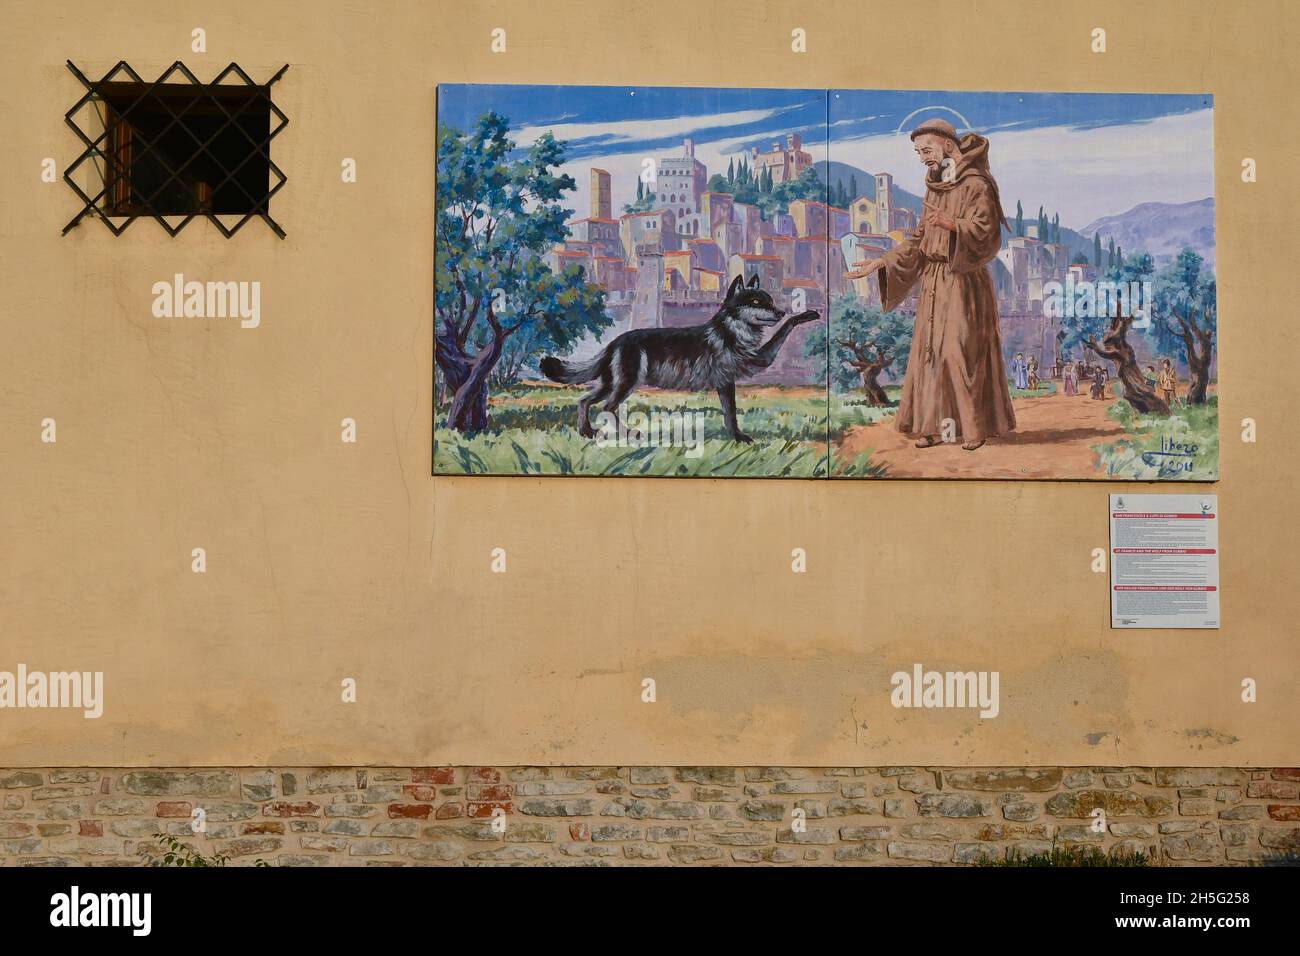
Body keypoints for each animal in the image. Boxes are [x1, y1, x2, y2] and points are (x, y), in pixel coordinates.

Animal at [538, 273, 821, 444]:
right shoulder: (734, 377)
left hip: (610, 384)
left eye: (769, 301)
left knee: (584, 400)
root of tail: (614, 342)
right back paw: (629, 434)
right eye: (755, 301)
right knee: (607, 407)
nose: (781, 311)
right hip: (625, 384)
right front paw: (739, 438)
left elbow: (729, 413)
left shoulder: (743, 371)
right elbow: (731, 413)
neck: (730, 331)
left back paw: (586, 432)